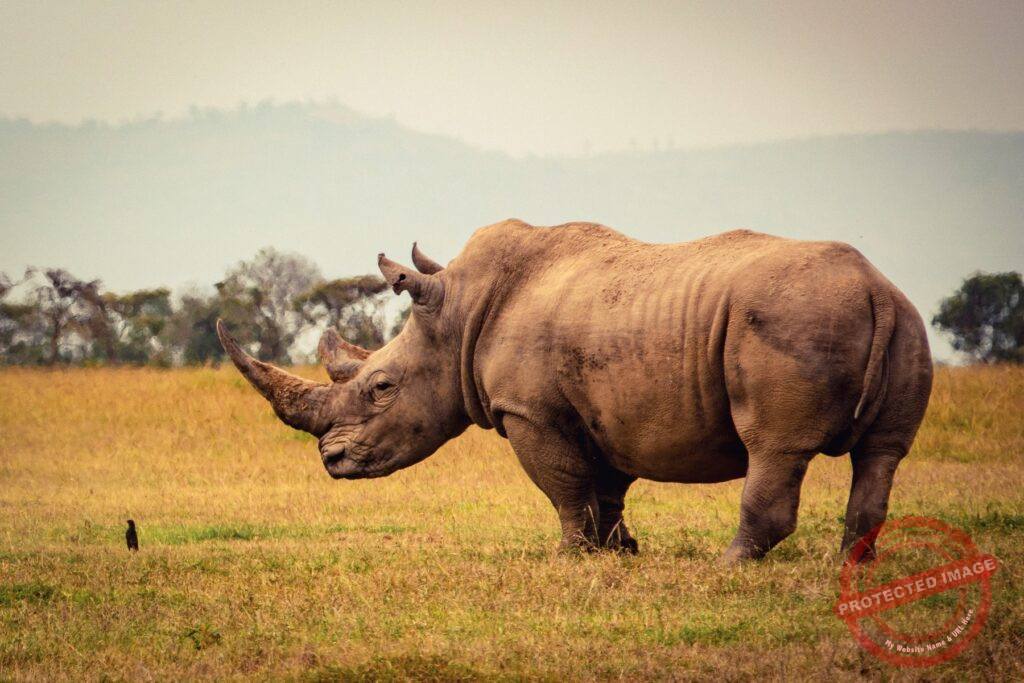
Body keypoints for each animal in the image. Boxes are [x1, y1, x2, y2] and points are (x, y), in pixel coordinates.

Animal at [217, 220, 932, 561]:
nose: (330, 460)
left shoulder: (529, 411)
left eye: (381, 388)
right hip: (903, 322)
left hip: (791, 321)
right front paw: (621, 552)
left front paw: (570, 556)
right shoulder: (604, 408)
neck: (458, 314)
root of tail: (874, 289)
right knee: (882, 455)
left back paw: (730, 566)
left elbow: (562, 484)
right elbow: (605, 486)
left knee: (774, 448)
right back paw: (851, 569)